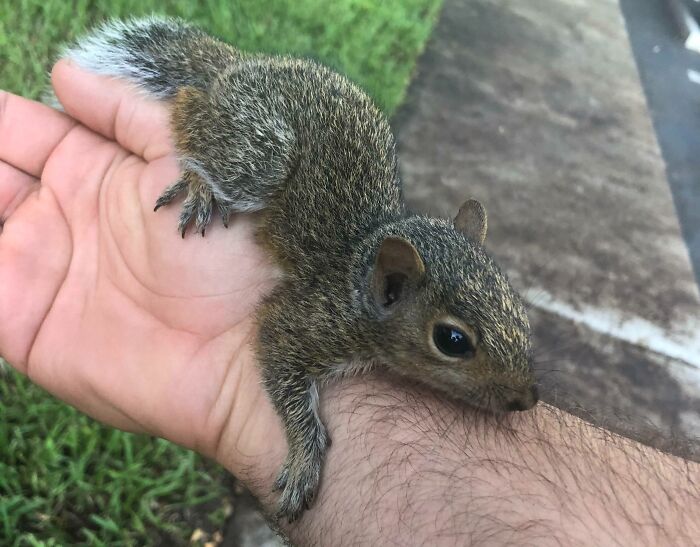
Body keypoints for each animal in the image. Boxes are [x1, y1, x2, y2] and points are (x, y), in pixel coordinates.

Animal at [63, 16, 540, 524]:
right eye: (452, 340)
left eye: (517, 305)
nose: (527, 399)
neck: (357, 270)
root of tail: (240, 65)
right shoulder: (303, 319)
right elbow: (280, 363)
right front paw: (305, 457)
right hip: (259, 155)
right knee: (191, 113)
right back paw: (199, 183)